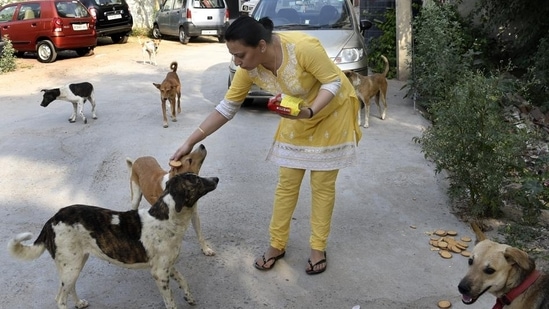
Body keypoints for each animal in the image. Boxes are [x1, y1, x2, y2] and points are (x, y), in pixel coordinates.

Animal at [8, 172, 218, 308]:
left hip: (75, 263)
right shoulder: (159, 273)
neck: (167, 218)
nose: (216, 178)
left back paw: (79, 303)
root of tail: (52, 219)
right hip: (71, 265)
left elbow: (183, 280)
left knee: (68, 288)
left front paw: (189, 297)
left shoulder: (167, 267)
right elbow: (171, 302)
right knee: (59, 298)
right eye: (196, 180)